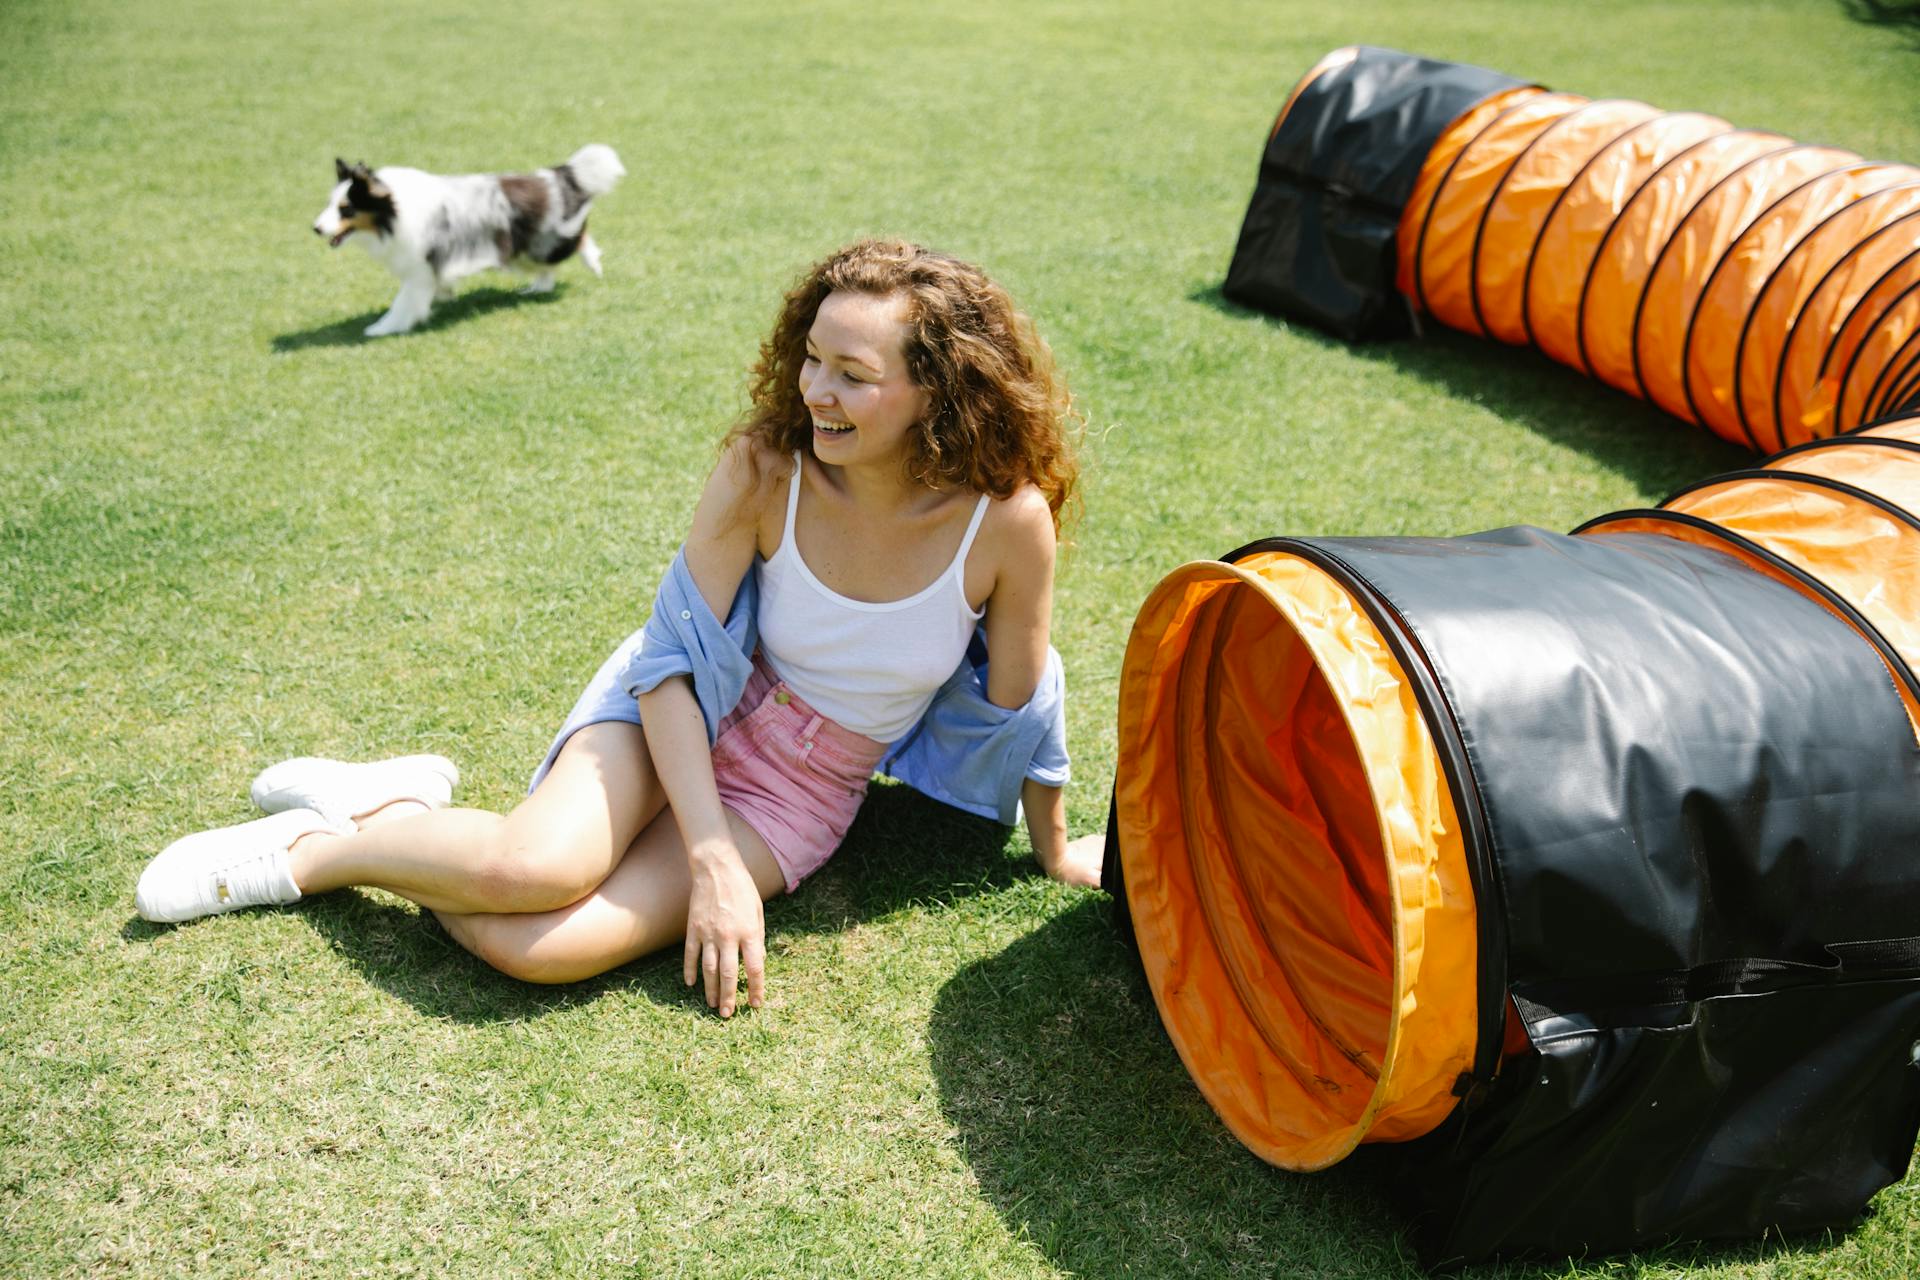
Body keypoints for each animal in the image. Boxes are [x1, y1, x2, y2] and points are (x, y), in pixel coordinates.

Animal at [314, 144, 625, 337]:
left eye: (346, 209)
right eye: (330, 204)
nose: (316, 228)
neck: (394, 211)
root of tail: (557, 176)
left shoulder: (420, 270)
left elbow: (402, 303)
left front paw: (382, 328)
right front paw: (443, 296)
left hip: (544, 241)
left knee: (579, 240)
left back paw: (593, 264)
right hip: (523, 250)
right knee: (547, 268)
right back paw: (536, 289)